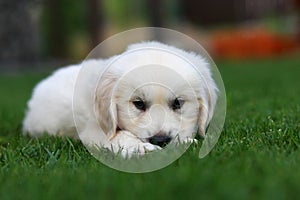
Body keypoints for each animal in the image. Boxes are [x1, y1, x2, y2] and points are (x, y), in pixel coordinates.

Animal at [22, 41, 217, 158]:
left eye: (177, 103)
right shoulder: (94, 130)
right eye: (138, 104)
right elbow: (119, 137)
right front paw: (141, 149)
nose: (160, 140)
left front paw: (183, 143)